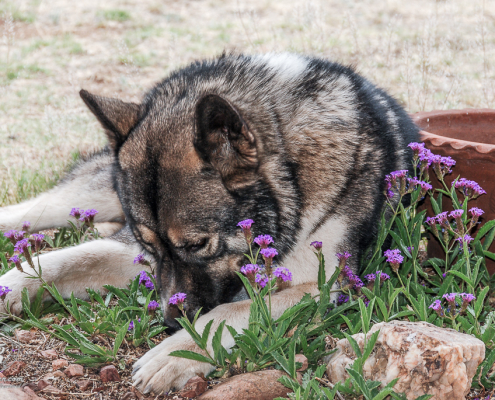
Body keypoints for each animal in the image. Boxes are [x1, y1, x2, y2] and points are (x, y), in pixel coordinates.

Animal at [0, 53, 420, 394]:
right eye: (149, 246)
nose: (170, 323)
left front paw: (174, 354)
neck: (293, 163)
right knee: (29, 210)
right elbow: (72, 258)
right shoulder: (136, 251)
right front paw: (11, 285)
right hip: (84, 196)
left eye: (197, 245)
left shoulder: (322, 284)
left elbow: (230, 311)